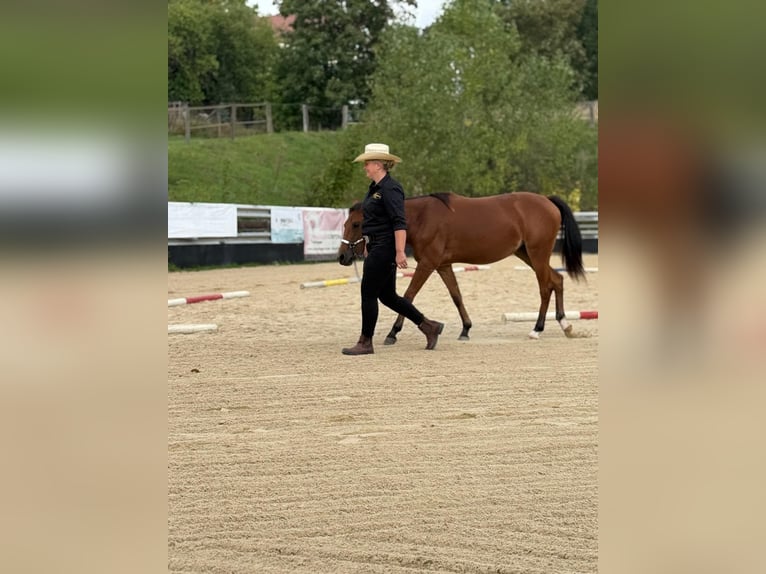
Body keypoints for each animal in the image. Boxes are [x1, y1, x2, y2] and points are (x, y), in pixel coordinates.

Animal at [338, 191, 586, 341]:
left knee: (545, 287)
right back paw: (565, 324)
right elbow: (456, 296)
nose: (342, 256)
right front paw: (466, 328)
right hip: (528, 255)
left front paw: (393, 332)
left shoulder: (427, 264)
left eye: (356, 224)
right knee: (557, 280)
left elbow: (408, 295)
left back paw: (537, 329)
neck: (422, 218)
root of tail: (548, 201)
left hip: (537, 254)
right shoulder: (443, 265)